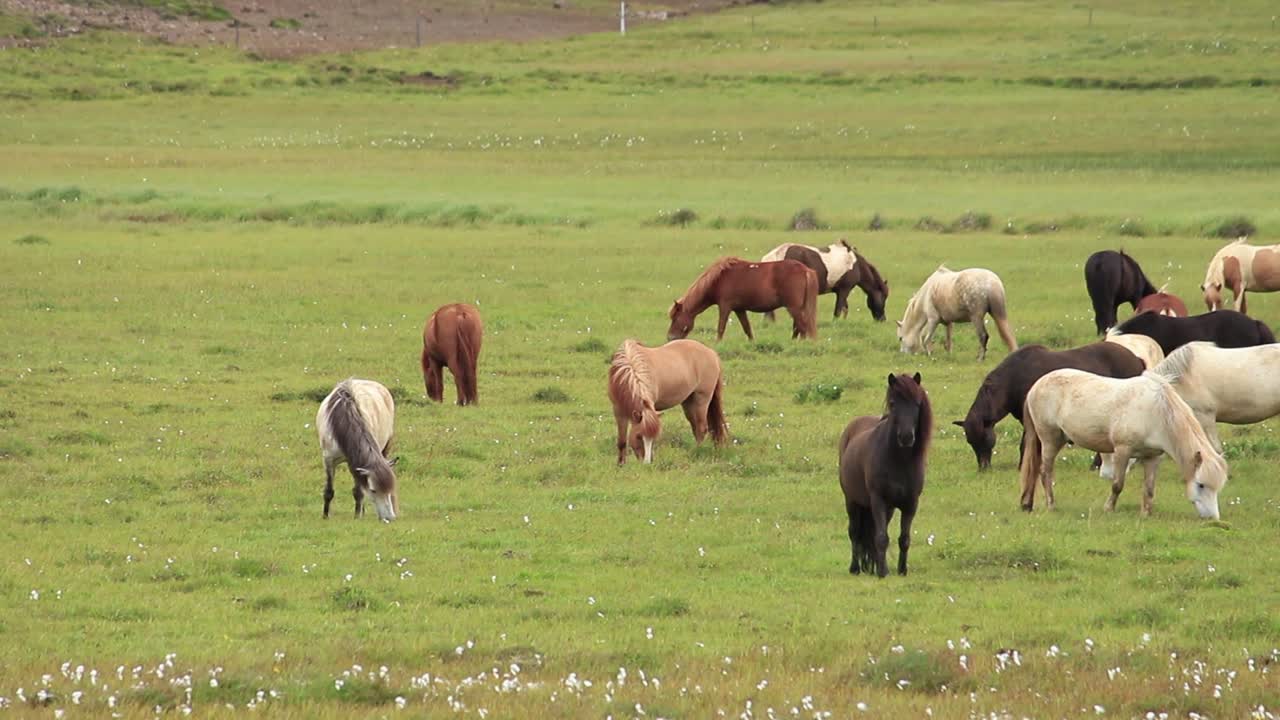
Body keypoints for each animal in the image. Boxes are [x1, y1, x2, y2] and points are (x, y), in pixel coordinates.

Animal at [316, 378, 399, 521]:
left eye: (389, 488)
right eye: (373, 490)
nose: (389, 517)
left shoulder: (355, 463)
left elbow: (358, 492)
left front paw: (356, 516)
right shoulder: (328, 460)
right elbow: (329, 491)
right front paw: (325, 516)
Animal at [667, 257, 818, 342]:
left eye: (675, 318)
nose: (670, 337)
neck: (719, 279)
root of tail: (805, 270)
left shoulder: (725, 307)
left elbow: (721, 327)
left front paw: (717, 344)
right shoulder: (739, 309)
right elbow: (747, 328)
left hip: (793, 307)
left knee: (803, 327)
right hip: (797, 308)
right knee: (798, 327)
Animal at [838, 373, 932, 577]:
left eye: (917, 404)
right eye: (893, 403)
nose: (906, 437)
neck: (899, 461)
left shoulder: (910, 504)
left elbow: (904, 539)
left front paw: (902, 570)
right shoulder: (878, 500)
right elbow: (881, 538)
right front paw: (883, 572)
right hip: (852, 501)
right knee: (854, 533)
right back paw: (855, 568)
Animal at [953, 343, 1146, 470]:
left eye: (984, 439)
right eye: (970, 442)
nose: (983, 467)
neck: (1012, 380)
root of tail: (1137, 358)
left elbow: (1025, 444)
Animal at [1020, 369, 1227, 519]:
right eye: (1201, 485)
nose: (1212, 518)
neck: (1157, 413)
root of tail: (1036, 386)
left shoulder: (1153, 457)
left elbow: (1149, 488)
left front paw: (1146, 513)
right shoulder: (1122, 451)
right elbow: (1117, 484)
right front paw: (1109, 508)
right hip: (1050, 439)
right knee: (1045, 472)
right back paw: (1051, 505)